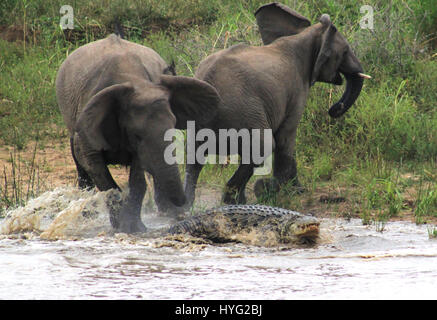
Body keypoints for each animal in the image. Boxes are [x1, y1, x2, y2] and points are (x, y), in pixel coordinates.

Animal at [55, 33, 220, 231]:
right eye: (137, 135)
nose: (183, 210)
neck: (135, 81)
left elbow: (139, 177)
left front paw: (135, 229)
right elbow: (94, 164)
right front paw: (121, 227)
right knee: (81, 167)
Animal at [175, 2, 370, 209]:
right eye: (345, 52)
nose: (333, 109)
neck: (304, 35)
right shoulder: (296, 89)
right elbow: (286, 138)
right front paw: (288, 191)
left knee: (193, 158)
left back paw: (189, 206)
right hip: (241, 111)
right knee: (263, 145)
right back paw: (237, 199)